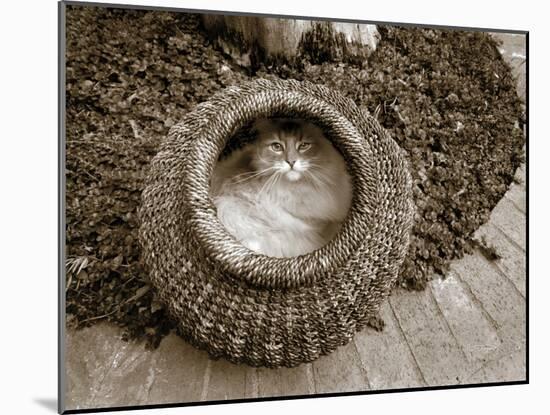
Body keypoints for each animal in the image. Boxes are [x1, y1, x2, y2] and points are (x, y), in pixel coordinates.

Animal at [211, 117, 354, 258]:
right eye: (277, 147)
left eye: (304, 146)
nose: (291, 162)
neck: (298, 187)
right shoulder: (312, 222)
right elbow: (331, 226)